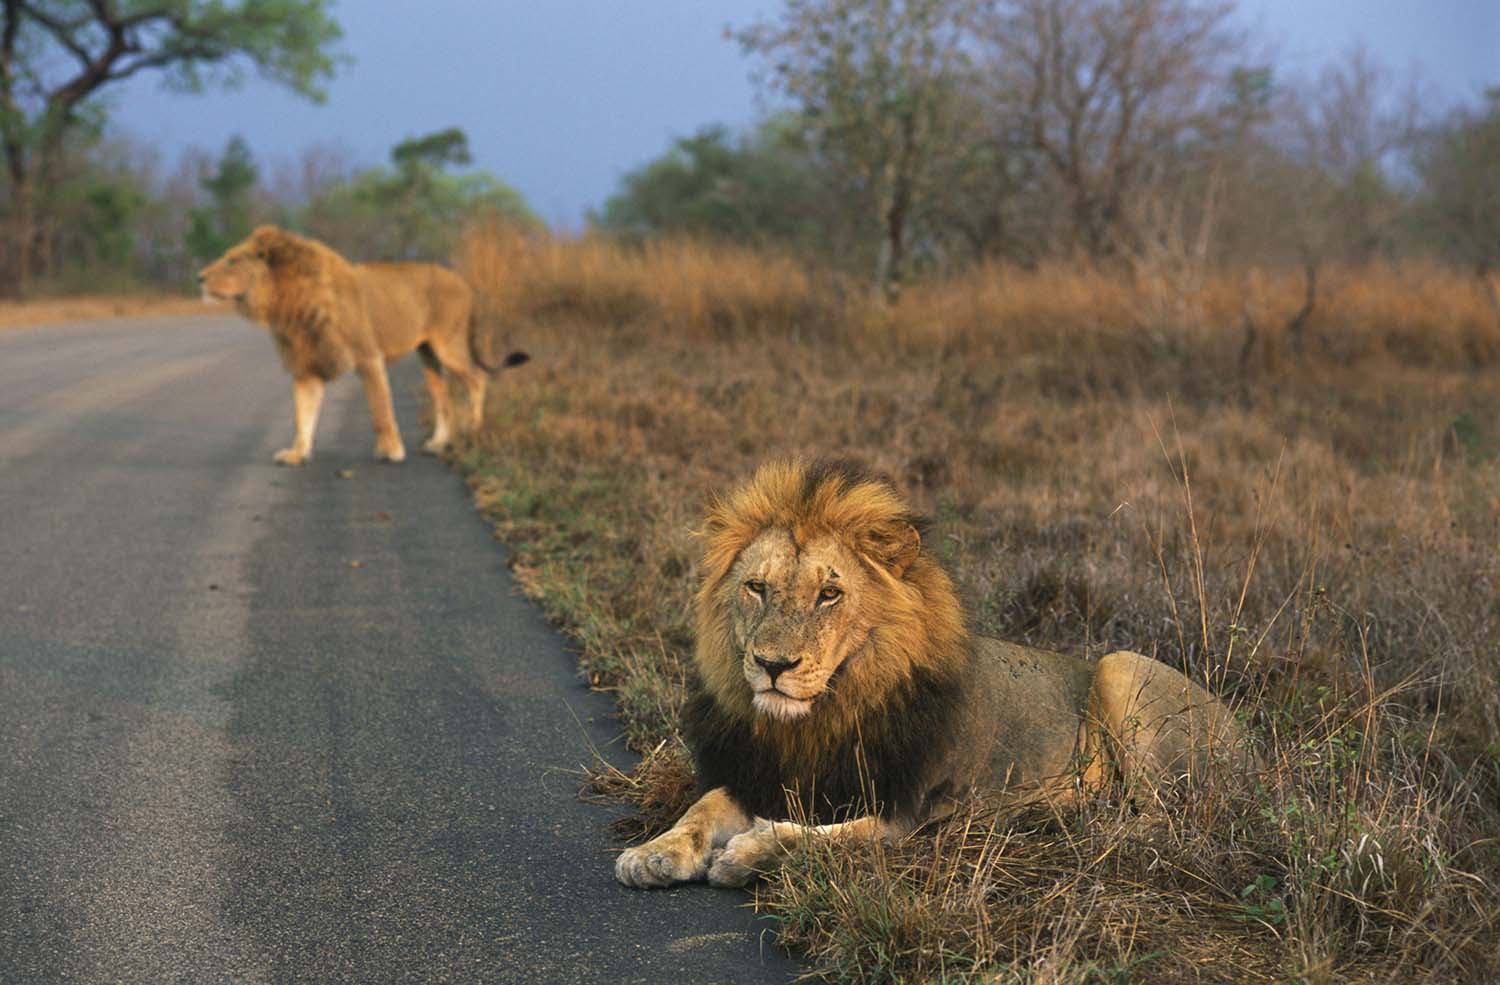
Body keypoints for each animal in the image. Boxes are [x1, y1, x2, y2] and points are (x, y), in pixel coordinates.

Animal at [197, 225, 527, 466]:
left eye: (232, 261)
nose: (199, 277)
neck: (286, 302)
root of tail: (464, 282)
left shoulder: (369, 357)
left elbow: (380, 410)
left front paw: (391, 451)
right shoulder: (307, 367)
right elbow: (303, 414)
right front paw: (297, 453)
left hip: (449, 346)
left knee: (478, 378)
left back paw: (473, 429)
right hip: (428, 354)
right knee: (443, 399)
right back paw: (437, 443)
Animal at [615, 459, 1257, 889]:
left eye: (829, 594)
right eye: (756, 587)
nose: (773, 666)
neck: (819, 719)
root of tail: (1247, 735)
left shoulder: (909, 812)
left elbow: (817, 839)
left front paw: (749, 854)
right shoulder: (764, 777)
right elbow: (704, 806)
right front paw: (652, 852)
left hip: (1121, 668)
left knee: (1162, 822)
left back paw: (1076, 819)